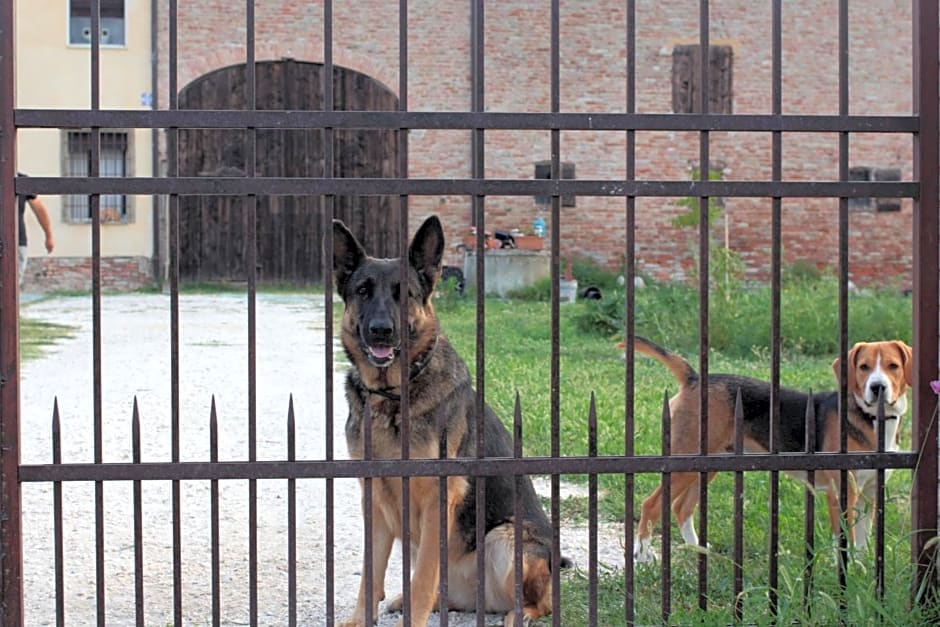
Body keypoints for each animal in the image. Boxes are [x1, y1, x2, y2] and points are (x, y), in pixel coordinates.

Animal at [334, 215, 560, 624]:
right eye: (362, 291)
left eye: (404, 293)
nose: (381, 330)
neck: (395, 395)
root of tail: (480, 602)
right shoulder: (373, 498)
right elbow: (370, 574)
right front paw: (360, 619)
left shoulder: (437, 500)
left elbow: (424, 576)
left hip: (504, 538)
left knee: (540, 603)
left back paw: (516, 615)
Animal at [628, 338, 916, 564]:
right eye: (863, 367)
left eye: (893, 366)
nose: (877, 387)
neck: (870, 418)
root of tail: (694, 378)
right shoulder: (842, 492)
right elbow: (844, 539)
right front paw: (845, 572)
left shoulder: (869, 494)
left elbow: (862, 540)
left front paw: (860, 569)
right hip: (683, 462)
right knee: (650, 505)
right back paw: (642, 554)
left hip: (705, 466)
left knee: (681, 507)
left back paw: (698, 549)